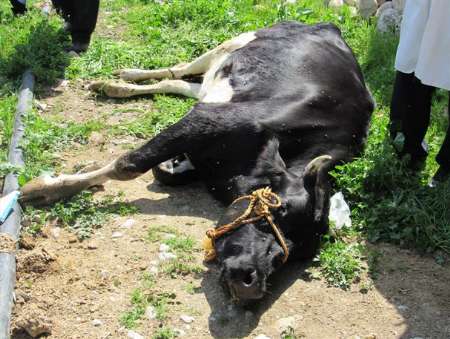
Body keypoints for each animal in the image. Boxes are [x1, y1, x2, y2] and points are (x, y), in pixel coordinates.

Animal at [20, 21, 372, 302]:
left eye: (297, 251)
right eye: (276, 210)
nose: (251, 284)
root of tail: (329, 26)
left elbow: (159, 170)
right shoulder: (206, 120)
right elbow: (127, 165)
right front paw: (47, 189)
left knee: (180, 83)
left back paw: (116, 85)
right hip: (235, 42)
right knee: (179, 68)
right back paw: (124, 77)